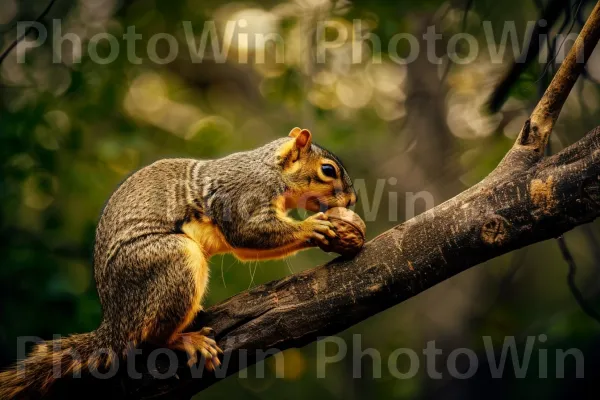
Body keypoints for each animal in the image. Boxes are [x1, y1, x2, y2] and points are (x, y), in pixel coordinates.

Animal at [0, 127, 356, 396]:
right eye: (328, 170)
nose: (352, 200)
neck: (271, 168)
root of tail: (116, 322)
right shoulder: (243, 195)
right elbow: (247, 233)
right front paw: (313, 228)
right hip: (173, 261)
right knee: (152, 339)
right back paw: (184, 339)